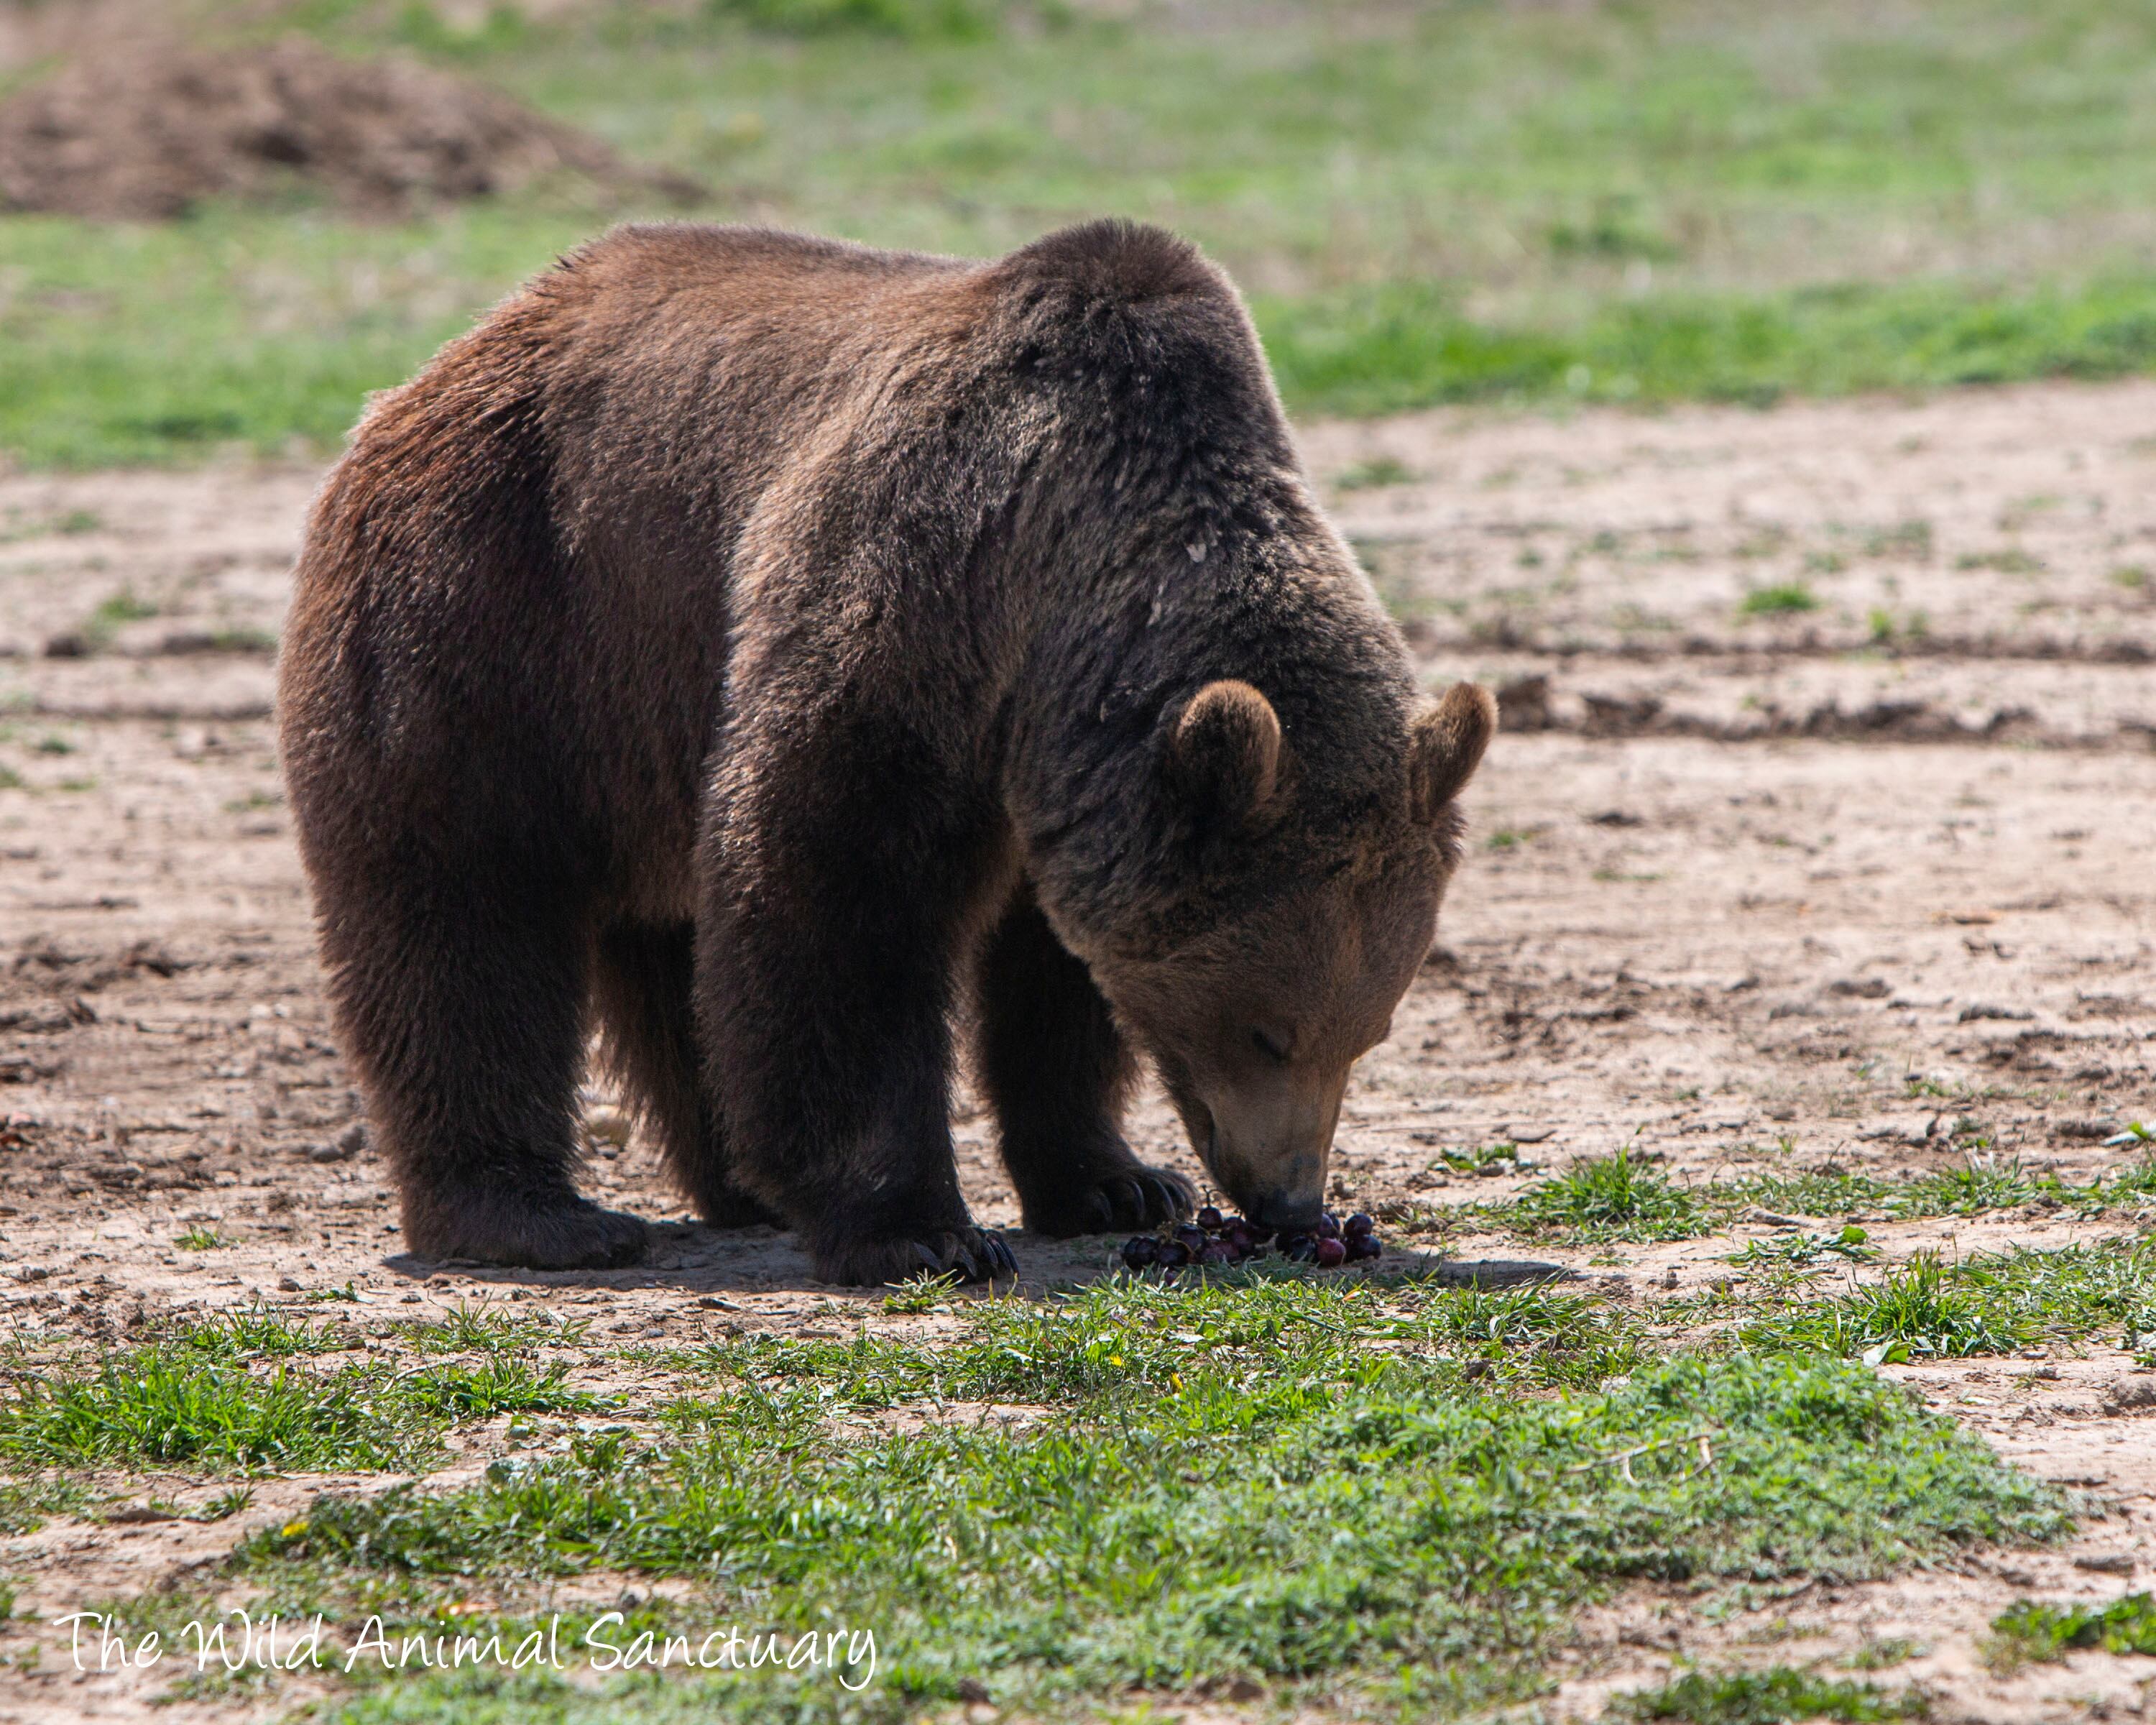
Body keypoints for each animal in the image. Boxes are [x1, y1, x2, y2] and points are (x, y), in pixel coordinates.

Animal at [278, 216, 1501, 1276]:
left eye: (1369, 1030)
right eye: (1265, 1032)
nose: (1291, 1201)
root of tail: (440, 363)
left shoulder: (1065, 773)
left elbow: (1053, 973)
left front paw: (1117, 1181)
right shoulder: (911, 593)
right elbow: (836, 890)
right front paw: (922, 1229)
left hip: (642, 715)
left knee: (672, 943)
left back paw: (736, 1176)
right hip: (497, 616)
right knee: (463, 912)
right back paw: (535, 1213)